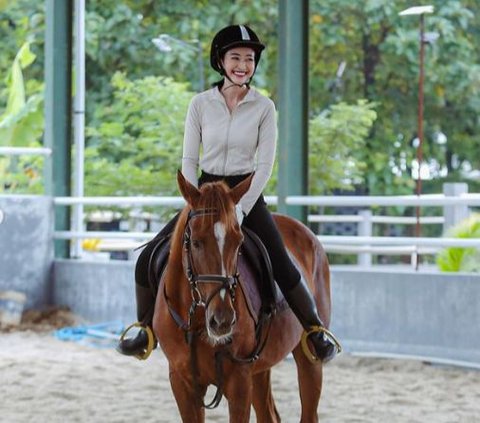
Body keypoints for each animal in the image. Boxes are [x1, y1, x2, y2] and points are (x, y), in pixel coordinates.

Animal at [153, 171, 334, 422]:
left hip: (309, 359)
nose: (222, 321)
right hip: (260, 368)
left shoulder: (239, 382)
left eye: (238, 242)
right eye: (196, 242)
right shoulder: (182, 383)